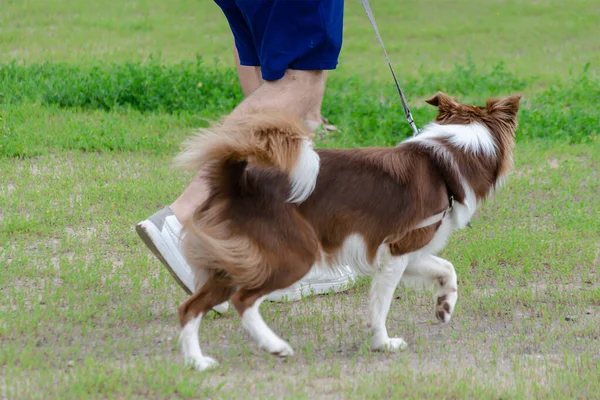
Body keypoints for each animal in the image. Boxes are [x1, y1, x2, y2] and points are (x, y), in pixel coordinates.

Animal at [172, 92, 520, 370]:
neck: (446, 162)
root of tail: (238, 181)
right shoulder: (397, 251)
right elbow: (381, 305)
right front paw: (383, 343)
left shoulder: (406, 250)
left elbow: (447, 269)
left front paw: (444, 306)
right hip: (293, 256)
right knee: (243, 300)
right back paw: (275, 346)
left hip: (233, 262)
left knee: (190, 307)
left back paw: (197, 362)